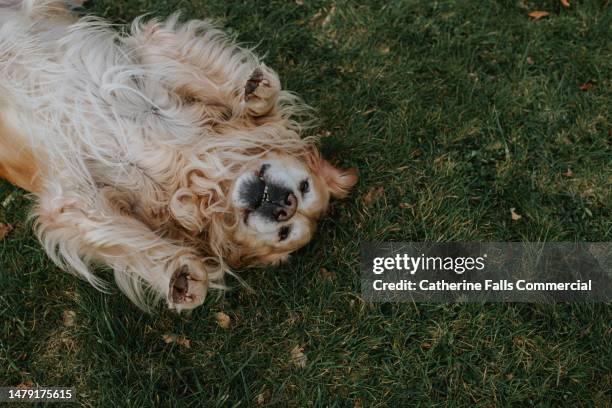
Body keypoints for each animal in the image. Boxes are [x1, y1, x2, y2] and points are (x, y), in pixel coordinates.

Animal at [0, 0, 358, 310]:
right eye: (305, 186)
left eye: (286, 234)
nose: (286, 204)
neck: (189, 165)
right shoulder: (151, 49)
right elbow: (235, 96)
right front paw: (257, 93)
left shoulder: (73, 200)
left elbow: (121, 236)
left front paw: (179, 272)